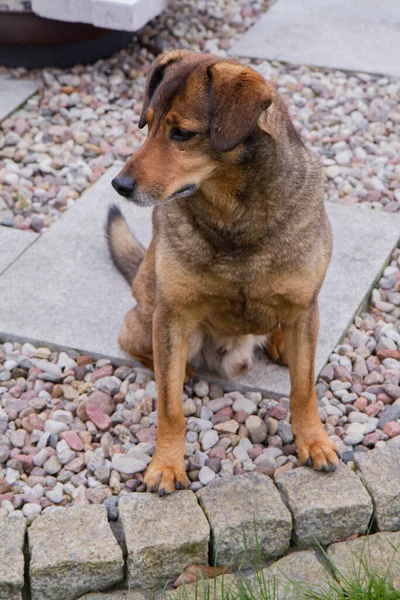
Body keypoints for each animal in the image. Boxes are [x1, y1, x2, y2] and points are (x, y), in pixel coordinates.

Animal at [107, 50, 340, 492]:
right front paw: (167, 464)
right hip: (149, 318)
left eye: (182, 133)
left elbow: (303, 389)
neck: (233, 212)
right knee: (135, 344)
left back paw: (279, 343)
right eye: (147, 123)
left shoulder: (305, 307)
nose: (119, 185)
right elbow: (169, 408)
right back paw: (181, 369)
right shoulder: (172, 316)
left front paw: (313, 441)